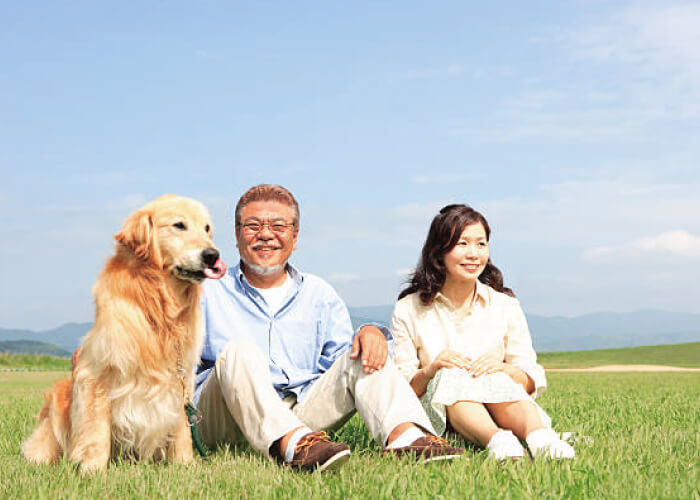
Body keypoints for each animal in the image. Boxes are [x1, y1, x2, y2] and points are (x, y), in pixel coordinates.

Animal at [20, 194, 227, 472]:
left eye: (207, 229)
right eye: (179, 225)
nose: (213, 255)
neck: (158, 307)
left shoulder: (180, 378)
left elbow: (182, 426)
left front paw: (185, 464)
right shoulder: (95, 374)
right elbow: (96, 430)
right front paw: (92, 469)